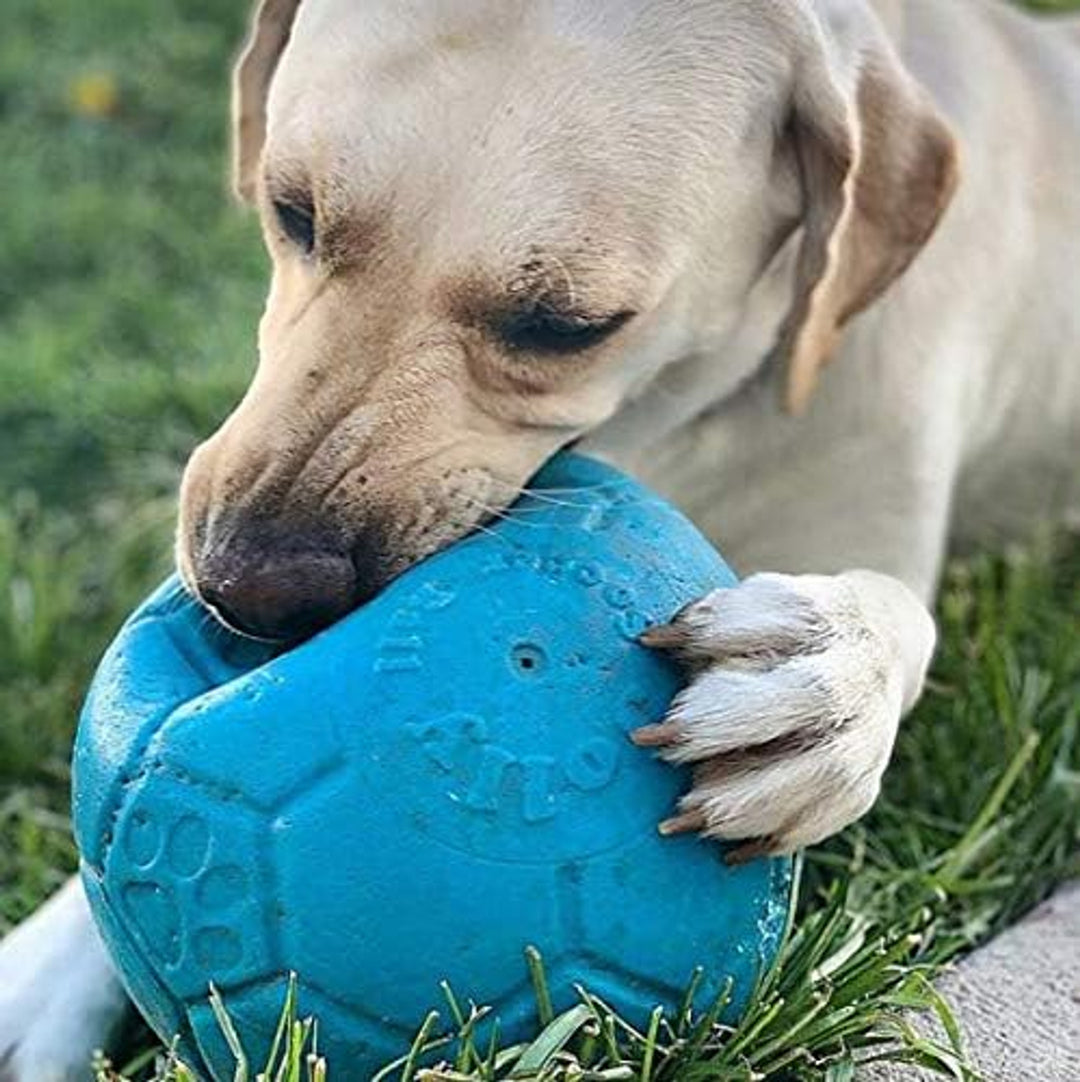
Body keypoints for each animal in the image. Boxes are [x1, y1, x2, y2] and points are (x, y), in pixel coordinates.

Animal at [2, 0, 1080, 1077]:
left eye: (566, 326)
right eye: (292, 210)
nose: (245, 588)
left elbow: (892, 613)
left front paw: (829, 678)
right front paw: (44, 969)